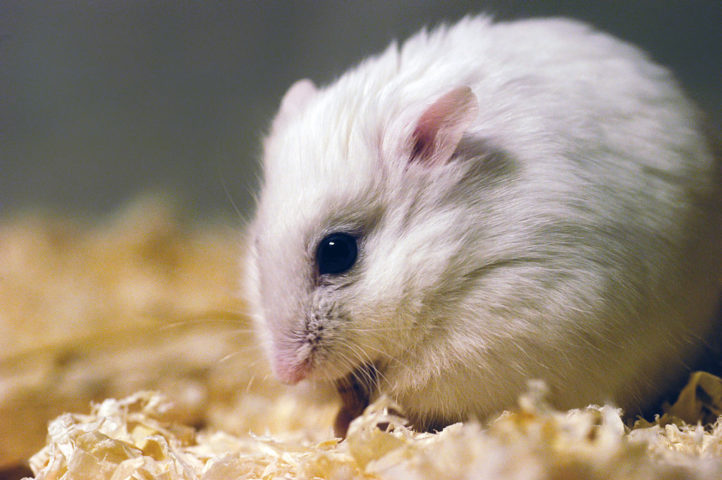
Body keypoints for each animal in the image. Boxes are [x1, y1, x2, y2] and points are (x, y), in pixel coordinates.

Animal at [245, 15, 722, 431]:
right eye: (256, 245)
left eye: (337, 251)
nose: (286, 374)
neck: (457, 244)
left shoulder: (504, 326)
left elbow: (411, 383)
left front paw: (374, 412)